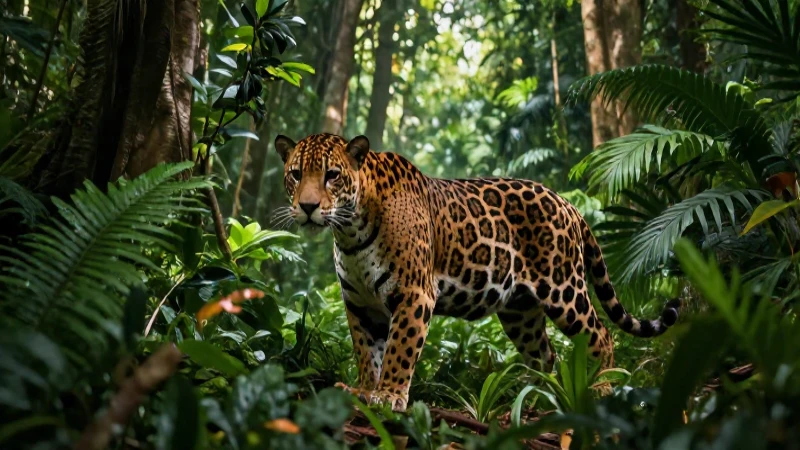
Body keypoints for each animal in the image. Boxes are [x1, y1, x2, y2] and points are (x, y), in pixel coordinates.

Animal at [273, 132, 681, 412]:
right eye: (295, 174)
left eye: (332, 175)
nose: (307, 207)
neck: (350, 231)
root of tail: (569, 203)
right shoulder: (359, 304)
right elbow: (365, 351)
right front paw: (364, 390)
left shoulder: (415, 294)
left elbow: (398, 351)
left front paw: (388, 395)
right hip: (520, 312)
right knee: (546, 354)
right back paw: (540, 396)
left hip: (564, 289)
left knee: (602, 335)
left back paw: (599, 389)